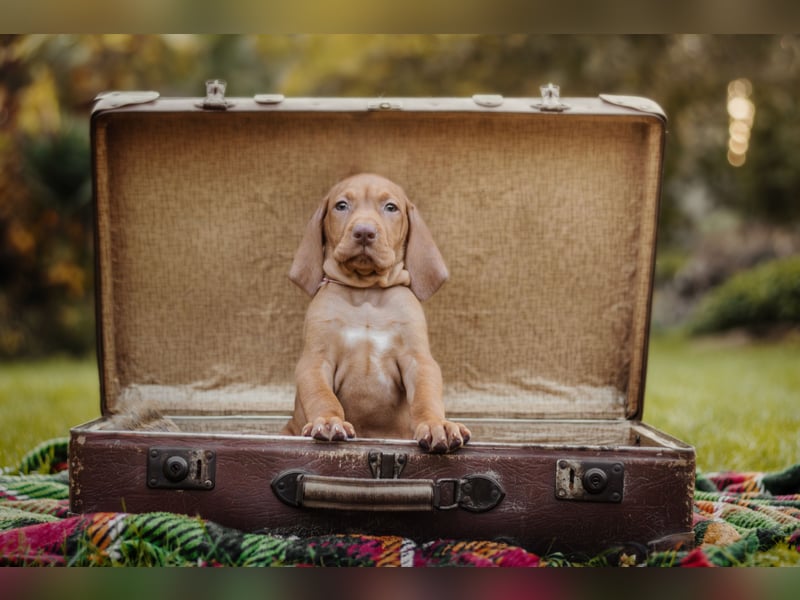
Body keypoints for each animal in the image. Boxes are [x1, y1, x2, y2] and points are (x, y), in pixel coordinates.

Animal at [282, 171, 468, 452]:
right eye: (341, 205)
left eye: (390, 207)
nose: (364, 232)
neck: (366, 294)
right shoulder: (316, 360)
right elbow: (322, 395)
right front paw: (328, 421)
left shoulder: (418, 360)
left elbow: (426, 397)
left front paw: (437, 424)